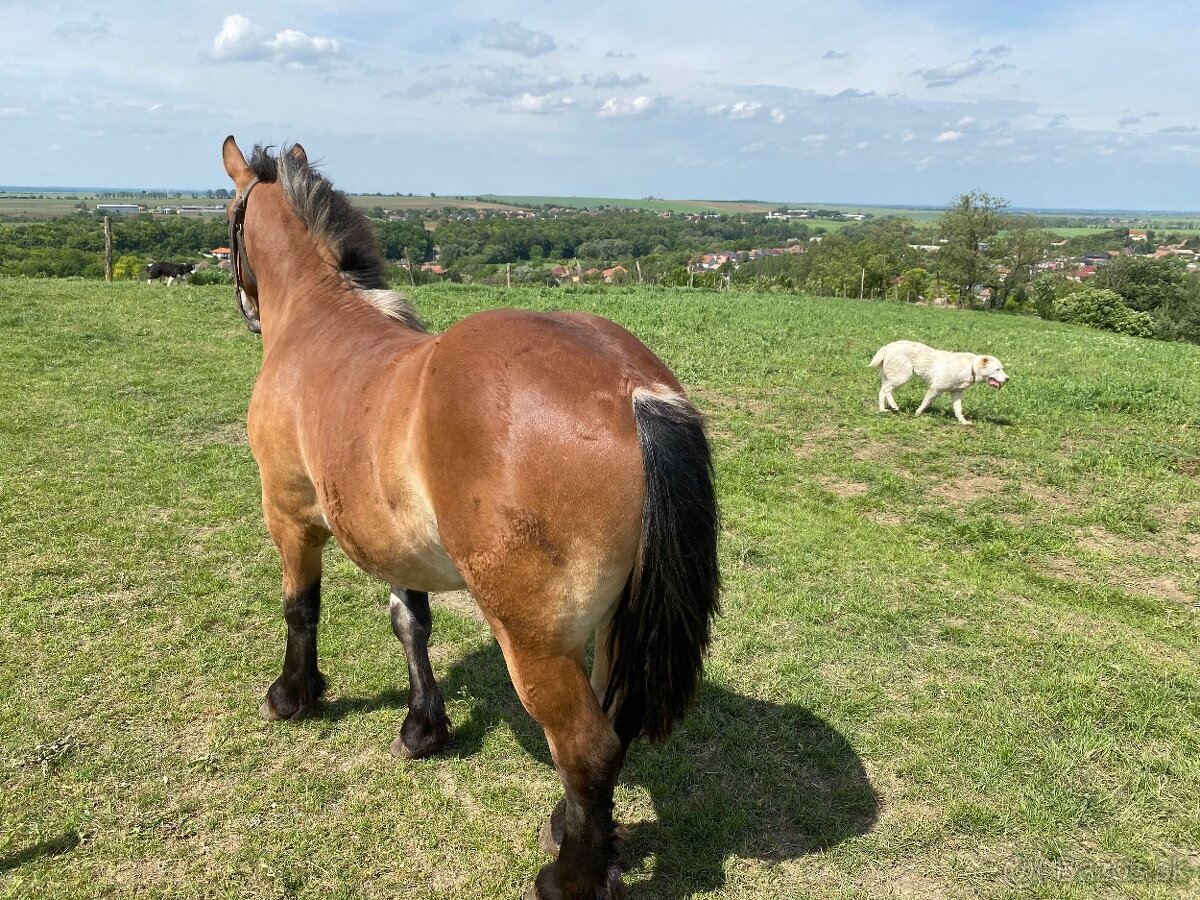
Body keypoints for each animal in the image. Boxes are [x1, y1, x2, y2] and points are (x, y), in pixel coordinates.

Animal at [219, 135, 715, 900]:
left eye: (229, 220)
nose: (242, 308)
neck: (318, 316)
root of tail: (633, 390)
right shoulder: (397, 543)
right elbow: (411, 625)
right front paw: (424, 727)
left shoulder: (289, 515)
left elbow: (301, 608)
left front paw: (294, 695)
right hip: (605, 627)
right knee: (614, 725)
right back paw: (576, 831)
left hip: (535, 639)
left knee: (589, 748)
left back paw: (567, 877)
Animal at [868, 340, 1008, 427]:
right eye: (997, 369)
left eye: (1002, 369)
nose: (1008, 379)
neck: (971, 367)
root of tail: (888, 347)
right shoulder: (935, 388)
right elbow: (925, 403)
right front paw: (917, 414)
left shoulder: (956, 393)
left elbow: (958, 410)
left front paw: (963, 422)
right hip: (903, 377)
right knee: (887, 390)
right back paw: (894, 406)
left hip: (892, 378)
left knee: (882, 391)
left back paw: (883, 410)